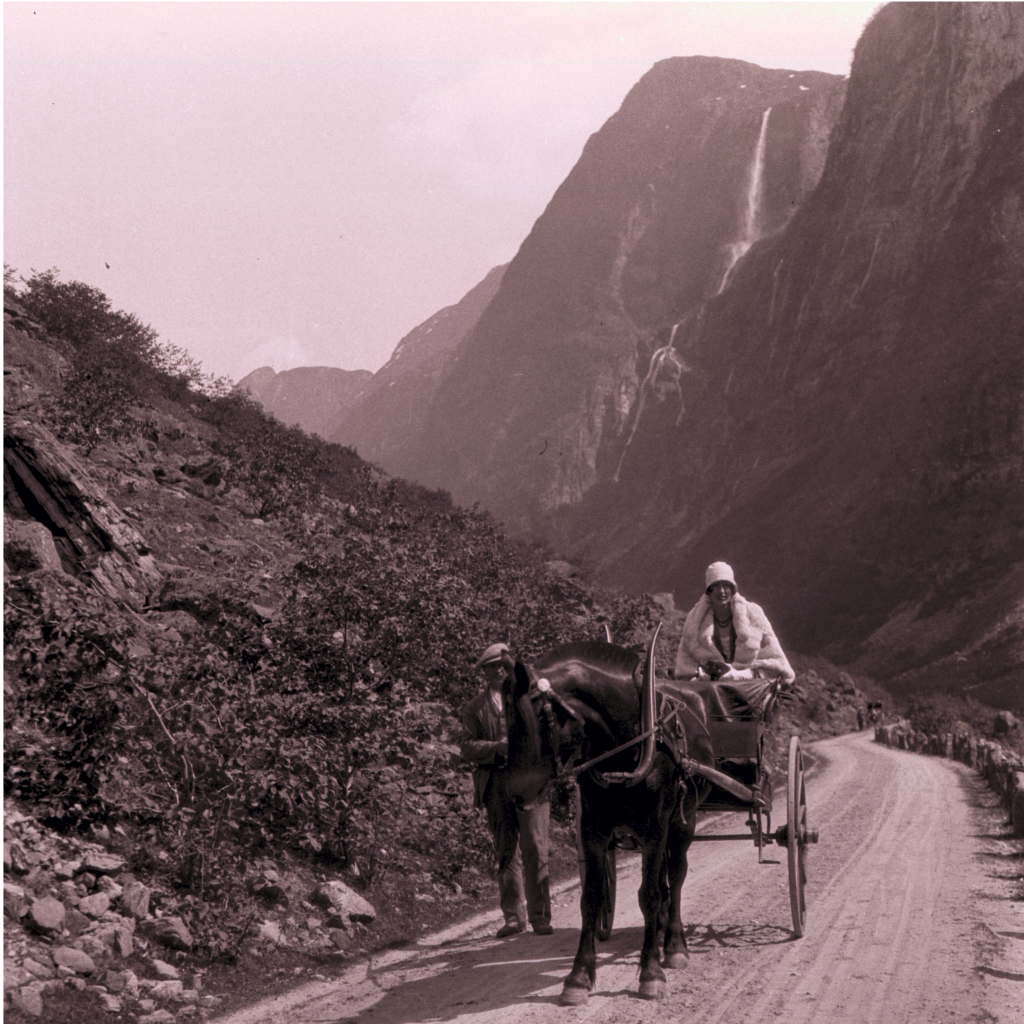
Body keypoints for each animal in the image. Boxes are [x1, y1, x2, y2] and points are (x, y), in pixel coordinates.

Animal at [497, 626, 712, 1003]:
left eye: (538, 716)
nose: (516, 793)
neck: (625, 749)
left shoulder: (656, 829)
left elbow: (650, 895)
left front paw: (650, 973)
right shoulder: (593, 830)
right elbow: (592, 899)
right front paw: (579, 976)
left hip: (682, 823)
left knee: (676, 878)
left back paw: (673, 944)